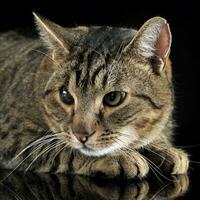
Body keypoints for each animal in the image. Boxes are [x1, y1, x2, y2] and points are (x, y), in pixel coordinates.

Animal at [0, 12, 189, 178]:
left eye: (113, 98)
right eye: (65, 96)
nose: (81, 135)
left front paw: (164, 149)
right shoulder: (13, 136)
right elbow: (63, 149)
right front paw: (118, 156)